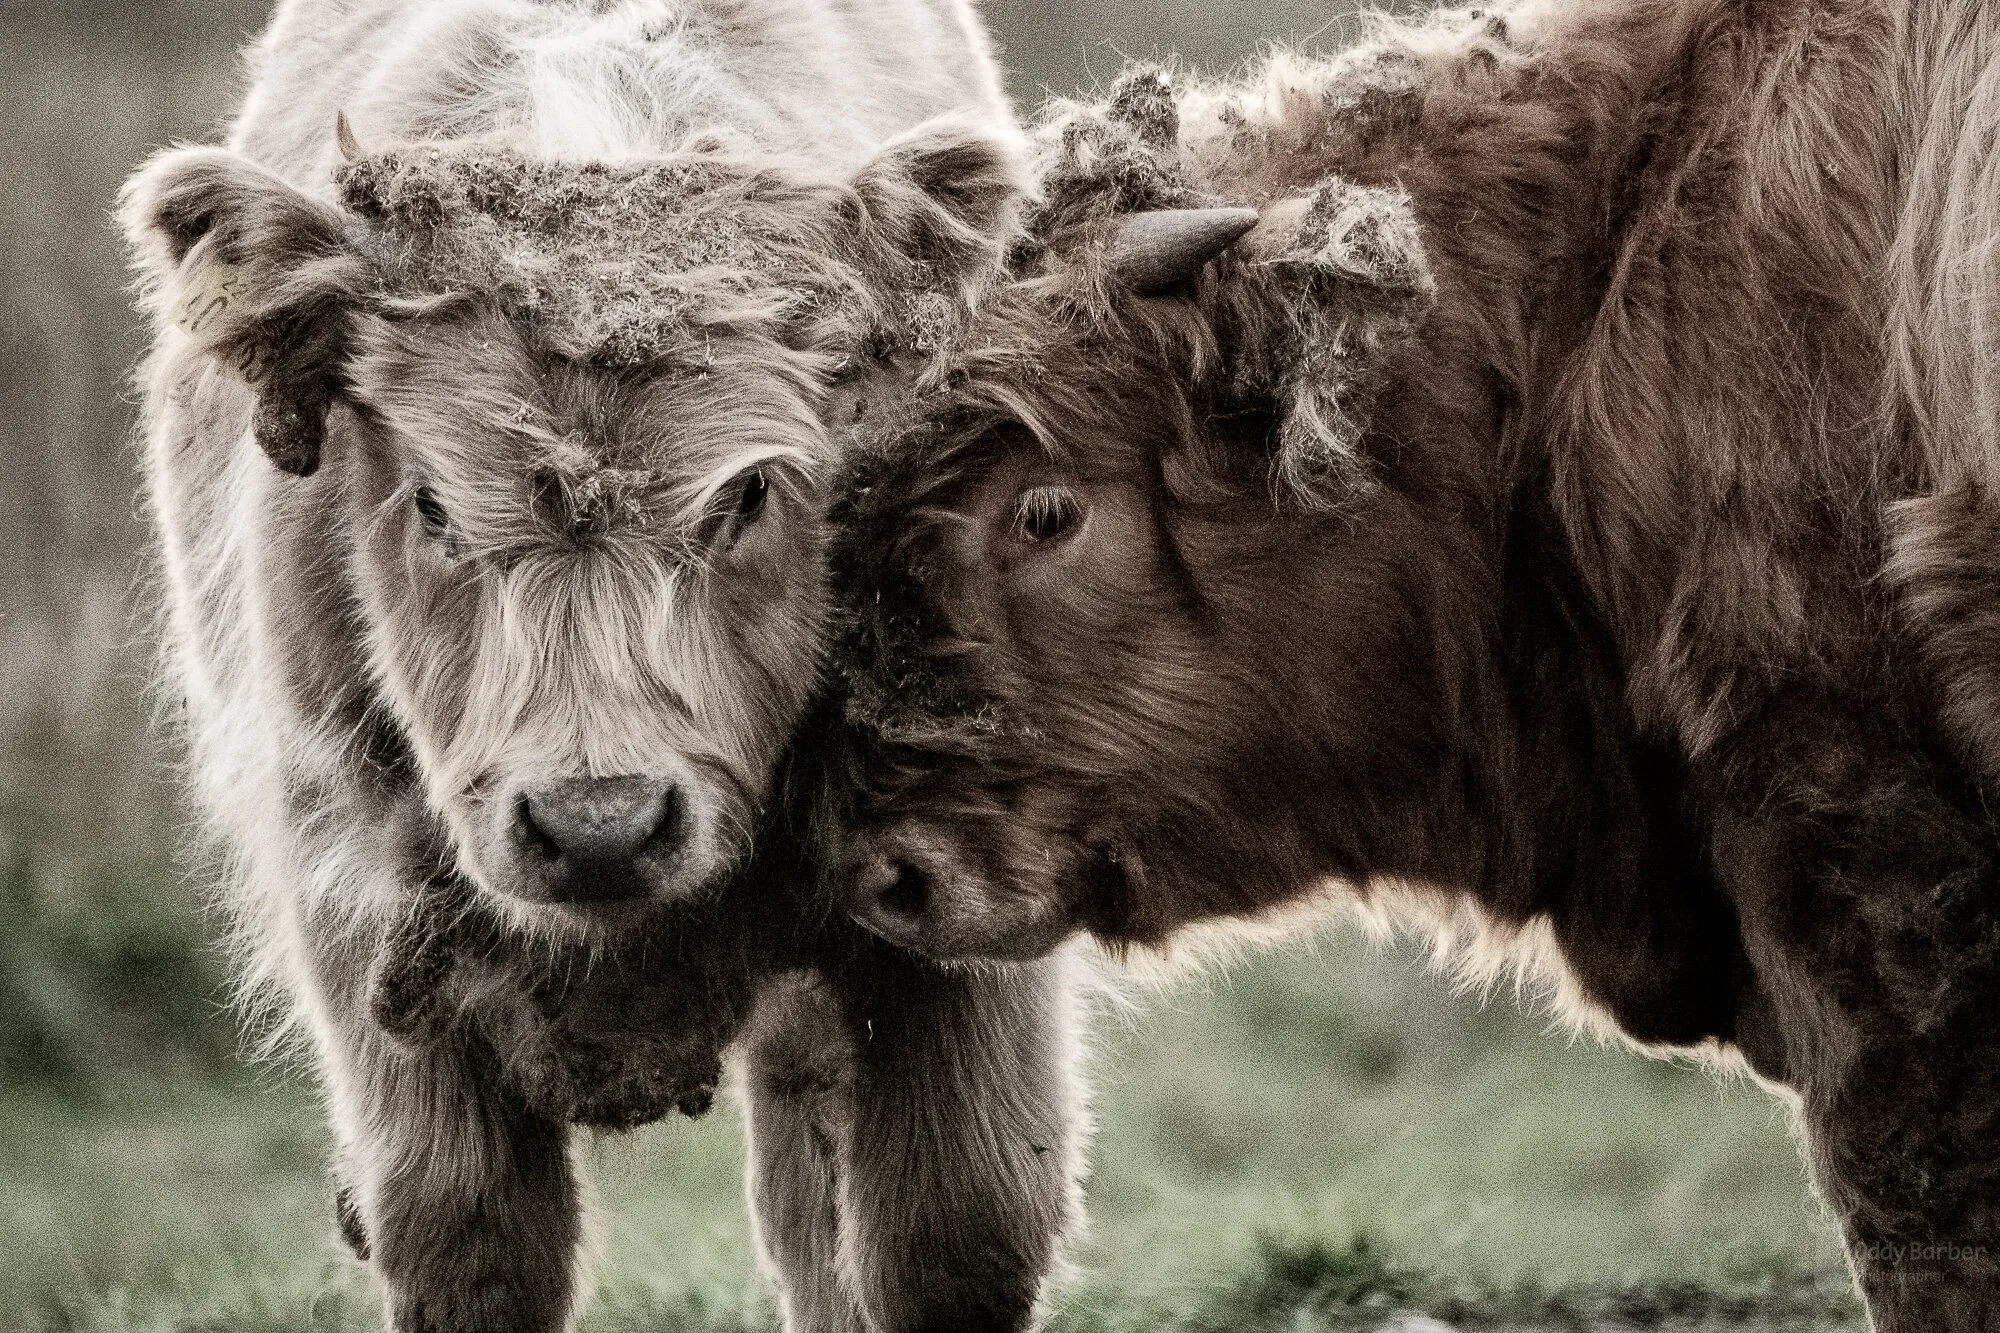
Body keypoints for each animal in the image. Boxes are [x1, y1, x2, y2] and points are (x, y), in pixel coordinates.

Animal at [118, 2, 1082, 1330]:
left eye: (749, 493)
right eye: (430, 503)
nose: (598, 826)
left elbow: (956, 1223)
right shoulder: (364, 908)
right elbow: (469, 1239)